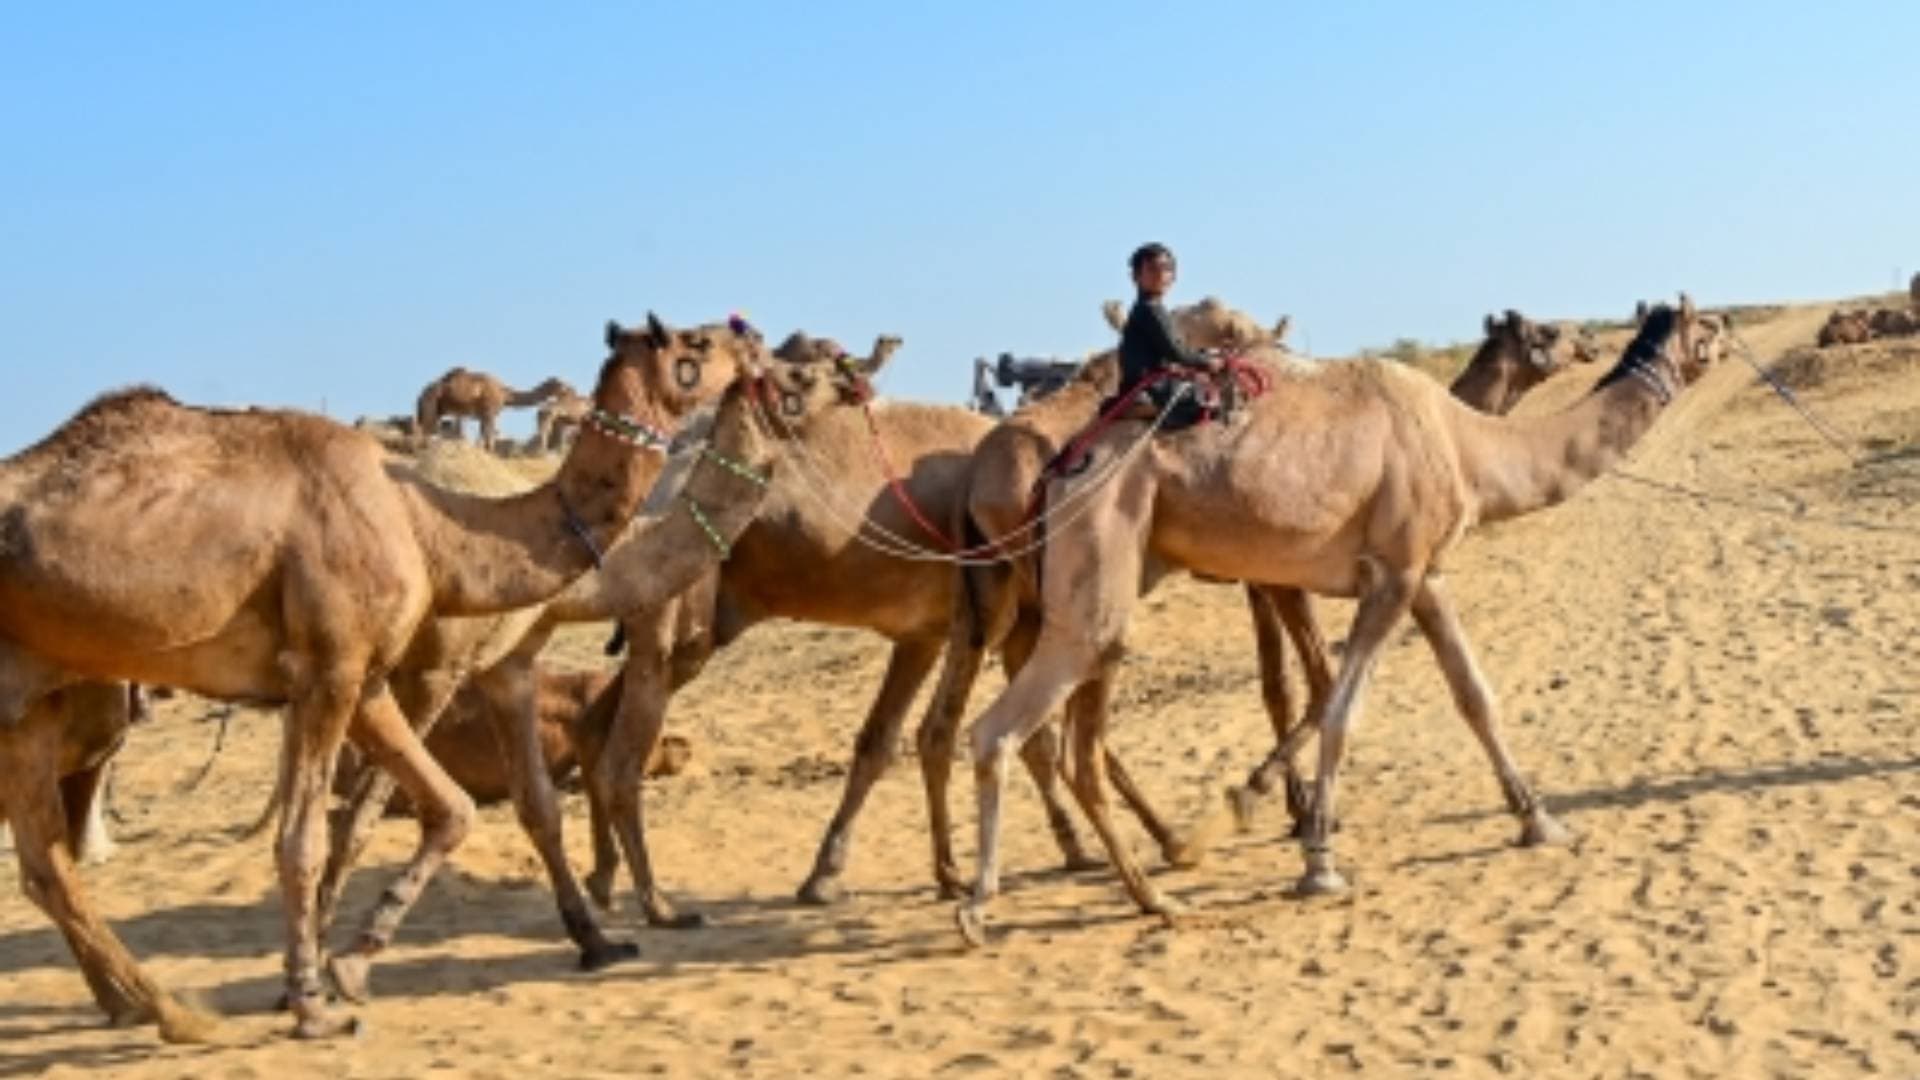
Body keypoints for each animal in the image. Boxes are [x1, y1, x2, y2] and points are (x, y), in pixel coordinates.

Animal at [415, 368, 574, 451]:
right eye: (562, 385)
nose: (572, 390)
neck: (505, 394)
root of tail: (420, 394)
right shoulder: (489, 413)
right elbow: (489, 441)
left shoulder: (483, 416)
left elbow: (484, 440)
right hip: (431, 404)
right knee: (428, 430)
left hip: (436, 409)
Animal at [945, 297, 1730, 945]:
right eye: (1545, 331)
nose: (1591, 339)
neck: (1464, 441)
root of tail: (1062, 464)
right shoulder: (1389, 574)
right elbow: (1339, 708)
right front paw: (1316, 855)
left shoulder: (1425, 575)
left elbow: (1474, 695)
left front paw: (1539, 819)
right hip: (1099, 544)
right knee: (998, 729)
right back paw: (983, 905)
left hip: (1113, 570)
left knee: (1075, 738)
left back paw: (1153, 893)